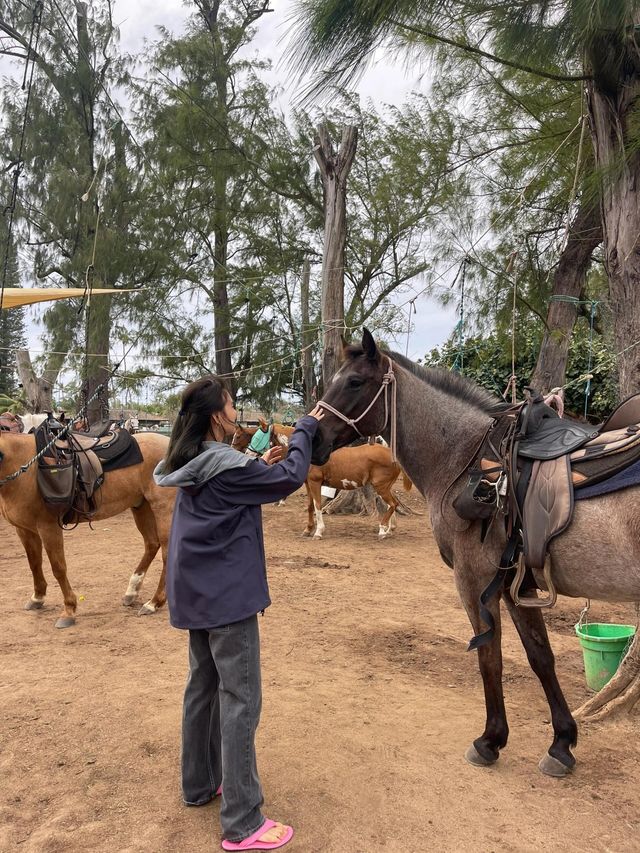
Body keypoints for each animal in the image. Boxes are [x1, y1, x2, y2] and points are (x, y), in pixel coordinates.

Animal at [0, 432, 175, 624]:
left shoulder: (48, 527)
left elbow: (58, 568)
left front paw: (69, 610)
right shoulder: (24, 530)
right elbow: (34, 563)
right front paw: (37, 598)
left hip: (163, 508)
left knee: (167, 553)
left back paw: (154, 602)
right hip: (141, 506)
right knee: (151, 544)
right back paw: (131, 592)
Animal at [232, 422, 412, 540]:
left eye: (256, 437)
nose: (247, 454)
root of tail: (392, 454)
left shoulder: (315, 482)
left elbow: (318, 505)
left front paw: (318, 531)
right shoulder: (308, 483)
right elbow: (310, 506)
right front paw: (308, 529)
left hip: (380, 486)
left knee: (393, 504)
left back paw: (382, 530)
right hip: (383, 486)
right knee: (391, 504)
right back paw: (389, 529)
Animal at [312, 328, 640, 780]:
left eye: (355, 382)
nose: (312, 436)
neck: (463, 458)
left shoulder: (474, 580)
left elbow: (489, 657)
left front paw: (490, 740)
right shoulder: (518, 584)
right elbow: (540, 656)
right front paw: (561, 743)